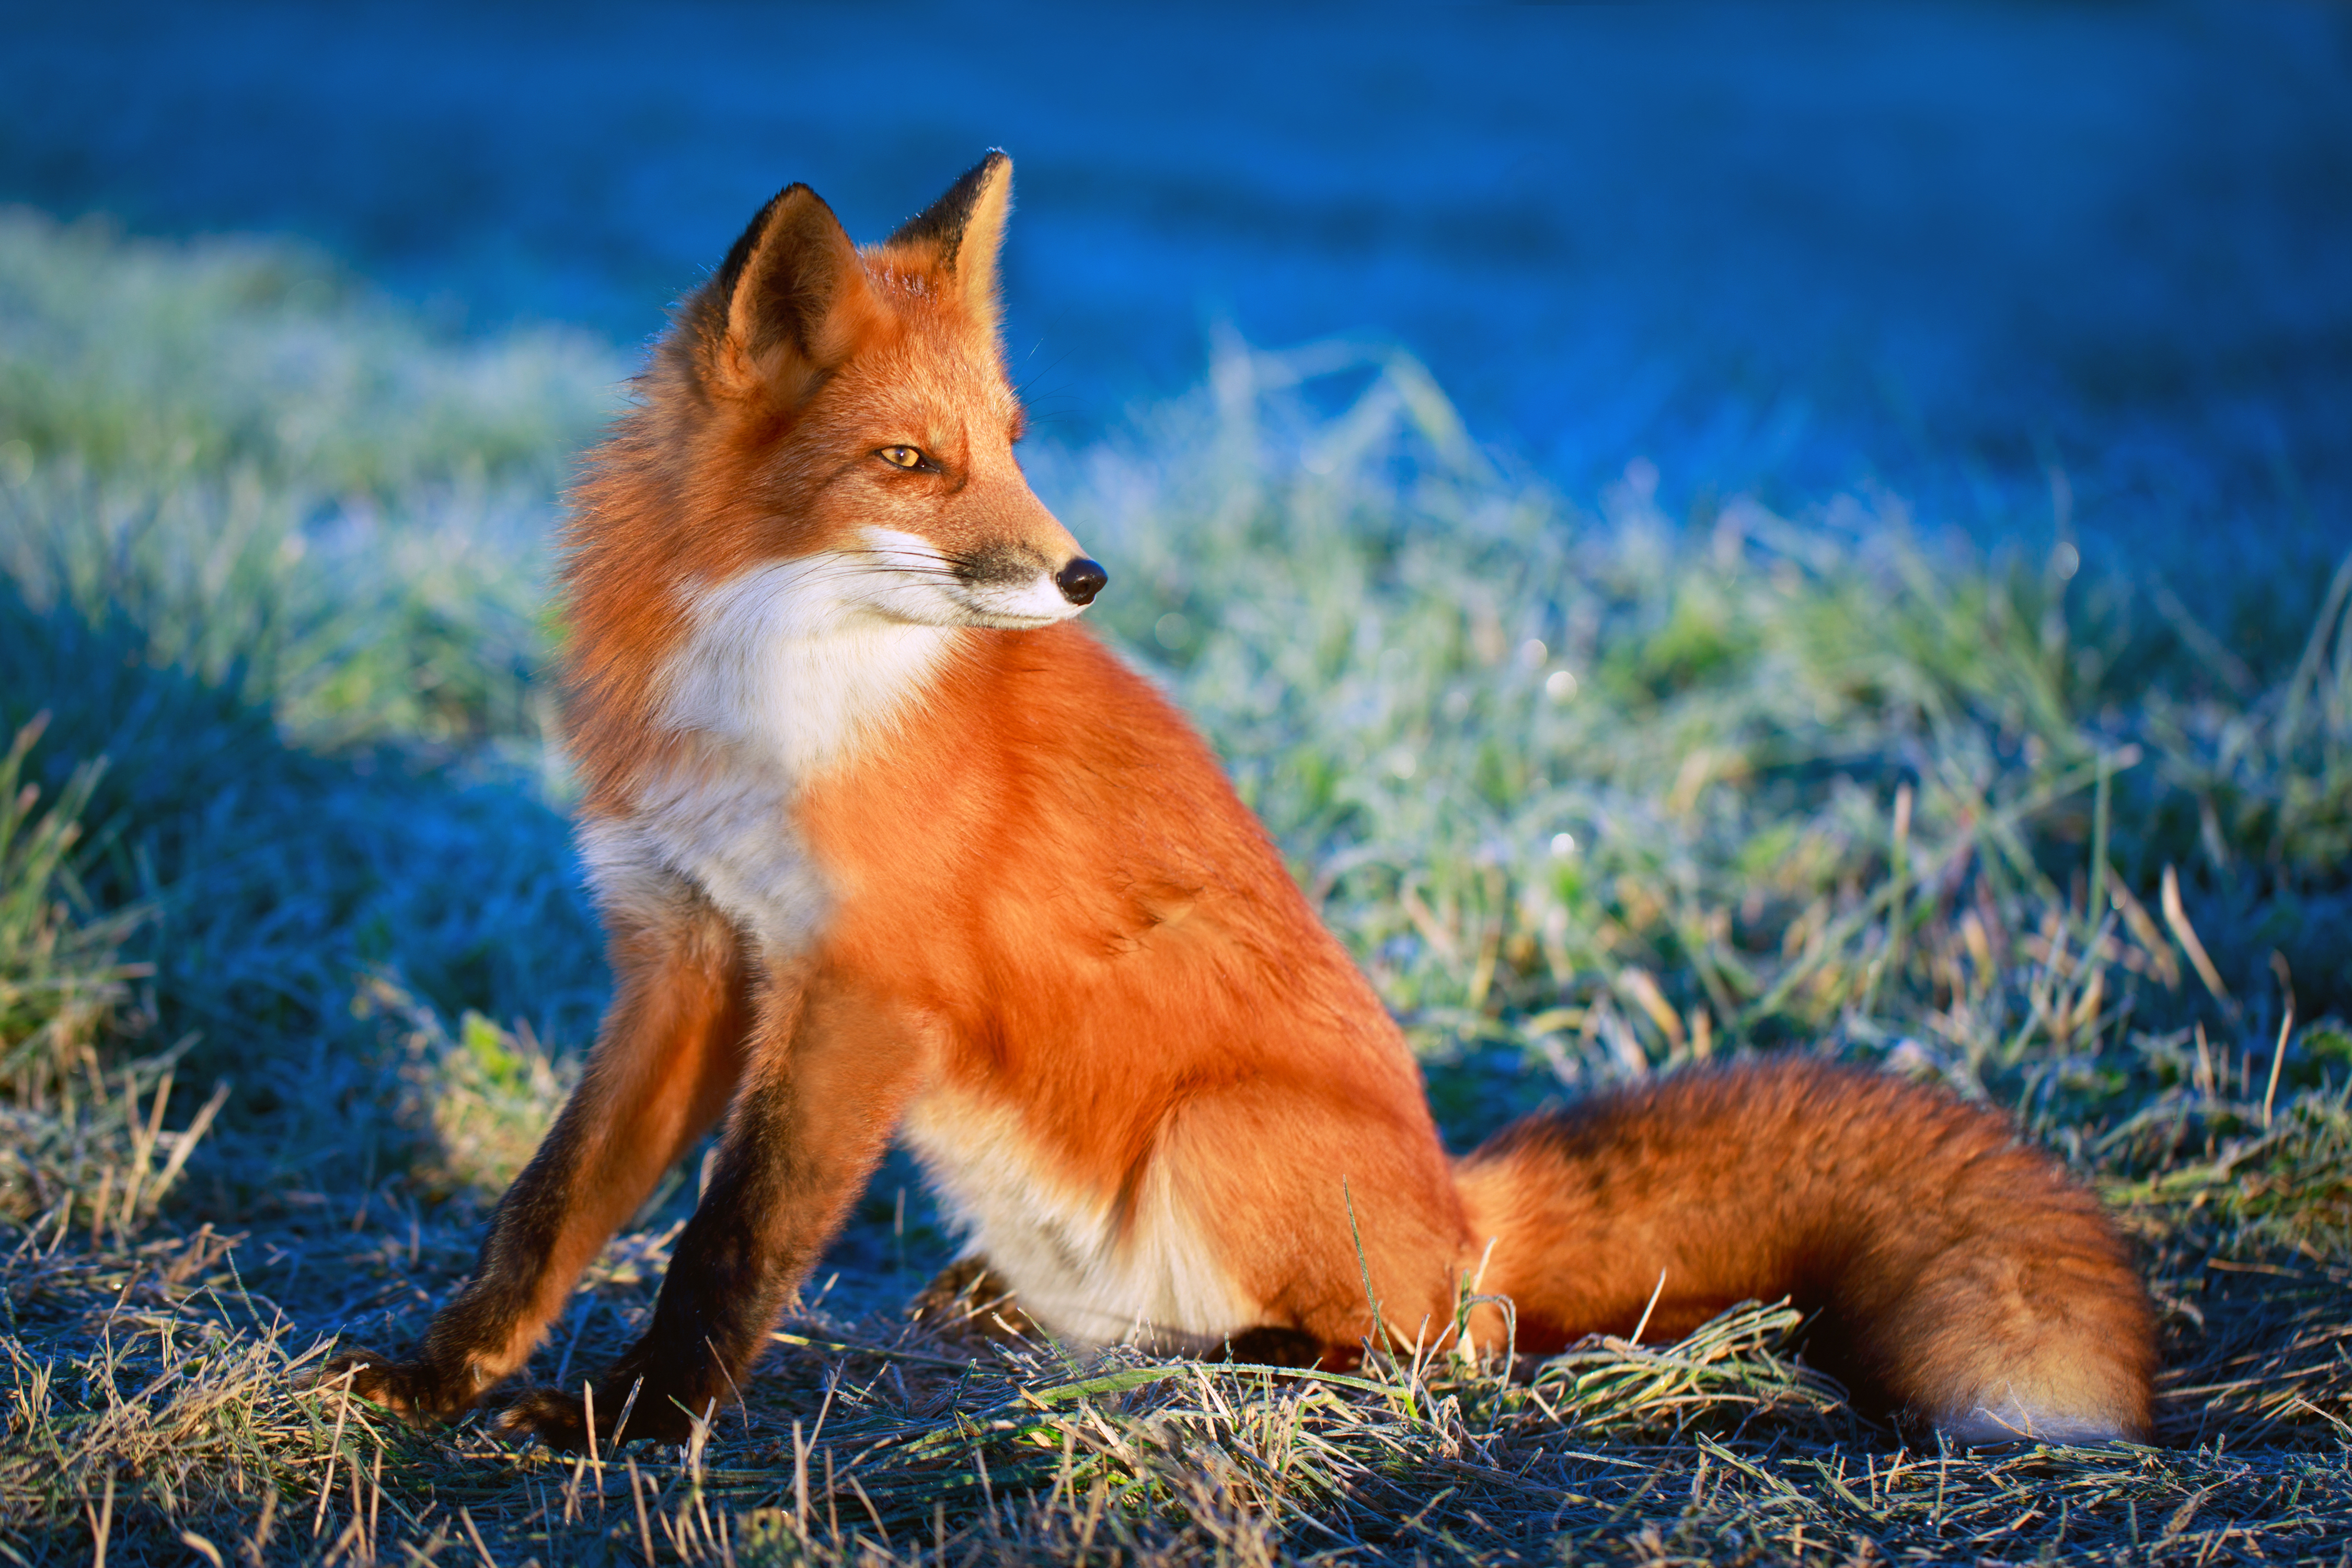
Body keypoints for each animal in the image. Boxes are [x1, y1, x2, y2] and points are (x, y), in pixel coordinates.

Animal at [331, 153, 2154, 1457]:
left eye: (1012, 439)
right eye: (912, 463)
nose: (1083, 575)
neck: (766, 695)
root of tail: (1461, 1201)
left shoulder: (862, 988)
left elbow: (736, 1240)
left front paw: (635, 1425)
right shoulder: (685, 956)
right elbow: (549, 1207)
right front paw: (441, 1377)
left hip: (1218, 1133)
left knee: (1446, 1347)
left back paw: (1261, 1362)